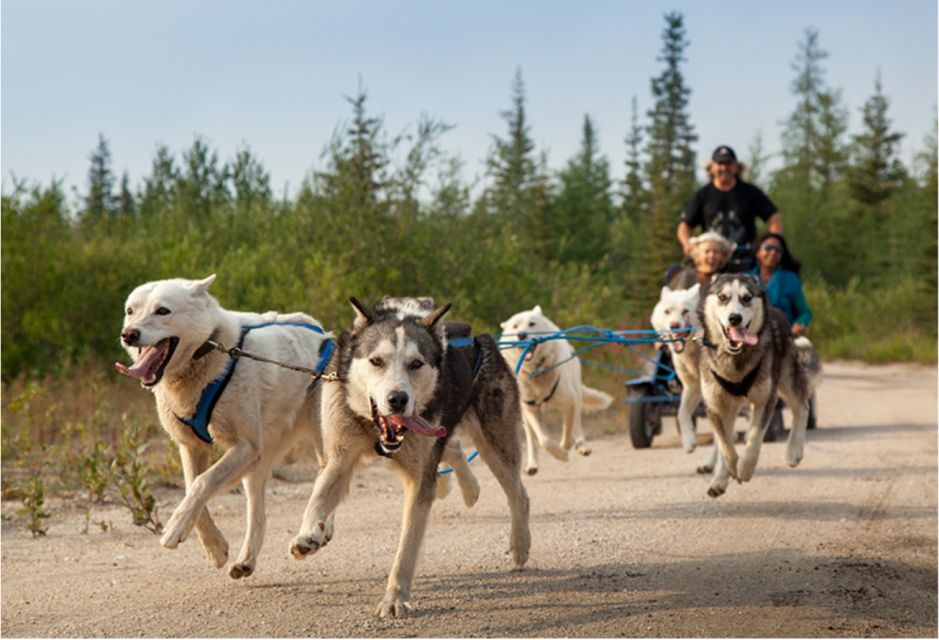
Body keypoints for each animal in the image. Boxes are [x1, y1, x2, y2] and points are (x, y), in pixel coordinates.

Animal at [117, 276, 332, 580]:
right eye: (130, 311)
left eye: (162, 311)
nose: (128, 334)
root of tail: (323, 332)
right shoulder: (192, 447)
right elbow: (192, 486)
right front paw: (214, 547)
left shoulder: (244, 447)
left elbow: (202, 482)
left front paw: (174, 528)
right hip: (256, 465)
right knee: (259, 516)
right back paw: (246, 561)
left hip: (320, 444)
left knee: (329, 484)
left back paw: (313, 536)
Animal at [500, 304, 616, 476]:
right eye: (515, 326)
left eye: (532, 324)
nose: (521, 335)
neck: (537, 372)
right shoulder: (531, 409)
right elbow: (544, 440)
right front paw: (559, 453)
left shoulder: (569, 402)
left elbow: (568, 430)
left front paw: (564, 449)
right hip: (523, 414)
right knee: (531, 439)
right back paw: (532, 464)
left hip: (576, 394)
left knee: (577, 423)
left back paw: (582, 445)